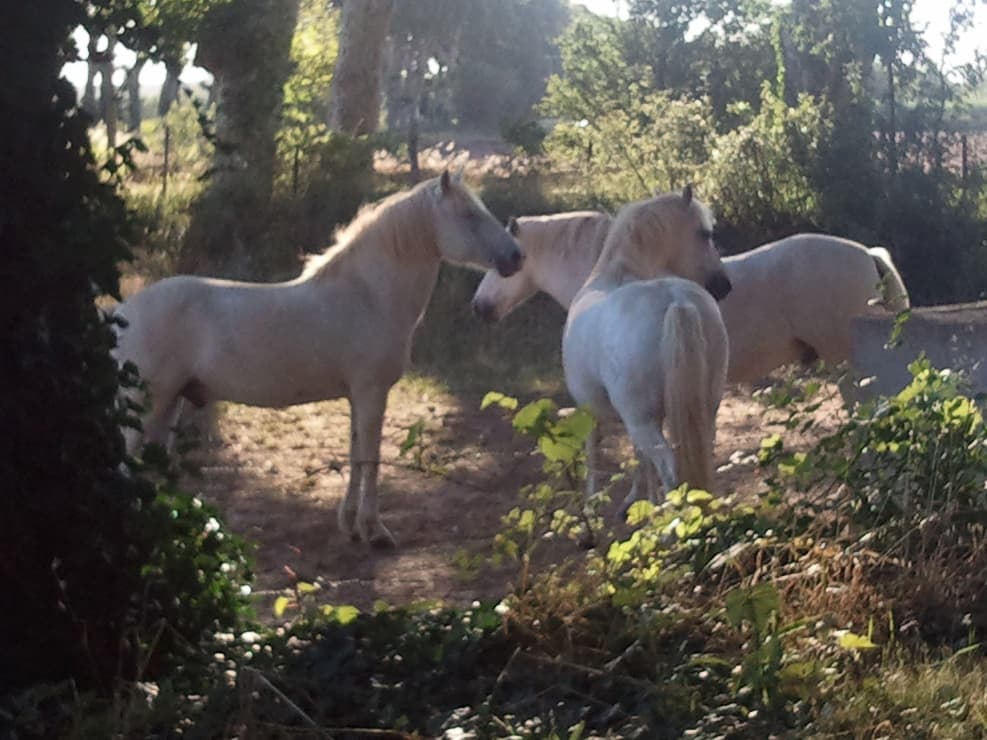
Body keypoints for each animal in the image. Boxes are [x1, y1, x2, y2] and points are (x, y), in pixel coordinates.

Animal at [114, 171, 523, 547]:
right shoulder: (372, 393)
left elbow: (356, 455)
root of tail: (123, 311)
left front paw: (351, 526)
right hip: (148, 403)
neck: (368, 295)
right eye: (469, 215)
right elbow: (371, 458)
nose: (517, 256)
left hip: (168, 404)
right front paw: (375, 531)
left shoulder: (359, 397)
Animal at [562, 187, 731, 508]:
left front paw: (595, 503)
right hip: (706, 408)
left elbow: (595, 454)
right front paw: (644, 500)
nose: (723, 286)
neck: (615, 273)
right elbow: (641, 460)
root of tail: (676, 302)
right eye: (704, 233)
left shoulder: (590, 408)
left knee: (670, 468)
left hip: (642, 422)